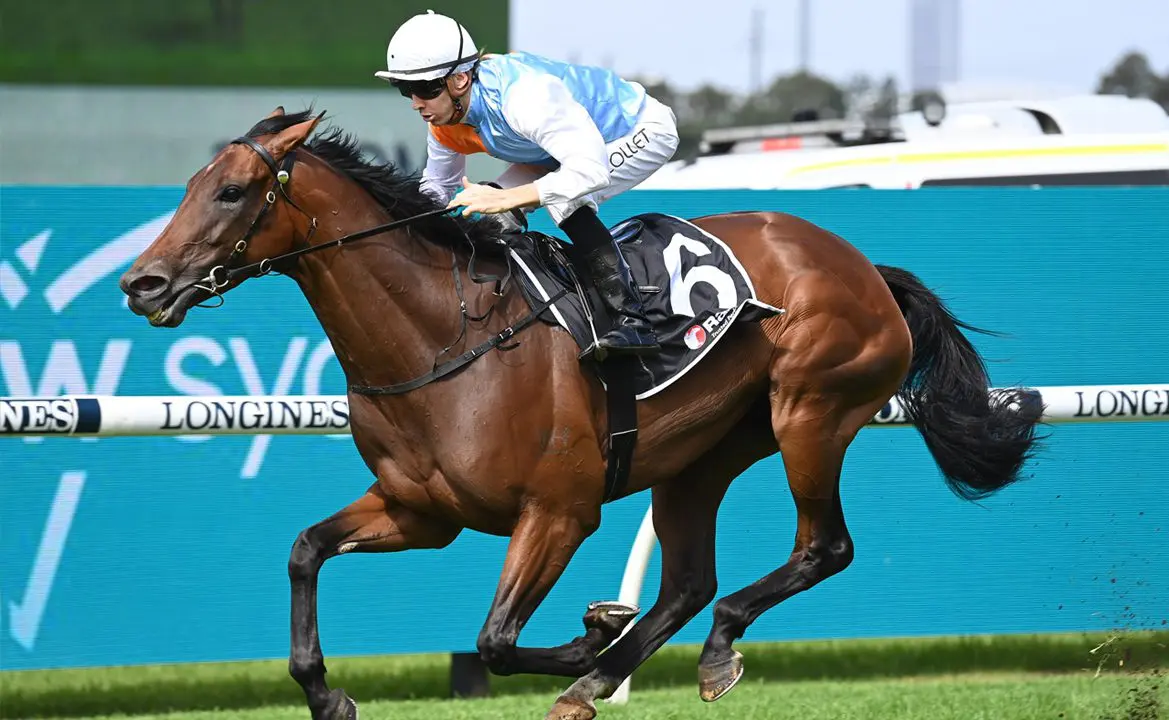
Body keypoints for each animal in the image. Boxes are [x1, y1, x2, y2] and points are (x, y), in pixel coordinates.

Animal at [119, 107, 1043, 720]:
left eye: (233, 191)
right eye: (192, 185)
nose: (143, 283)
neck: (438, 340)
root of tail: (861, 266)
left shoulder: (559, 511)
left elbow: (493, 638)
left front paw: (591, 632)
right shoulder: (422, 513)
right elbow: (305, 551)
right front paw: (325, 694)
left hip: (809, 413)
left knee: (823, 548)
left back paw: (693, 652)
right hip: (702, 456)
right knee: (689, 580)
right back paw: (610, 675)